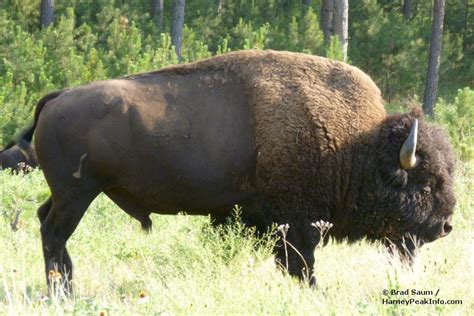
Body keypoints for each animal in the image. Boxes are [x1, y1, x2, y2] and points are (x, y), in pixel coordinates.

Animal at [19, 50, 456, 290]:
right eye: (425, 184)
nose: (446, 225)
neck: (356, 147)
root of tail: (58, 96)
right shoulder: (297, 223)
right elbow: (301, 265)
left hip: (67, 194)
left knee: (46, 223)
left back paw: (66, 285)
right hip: (77, 194)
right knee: (53, 233)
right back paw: (61, 291)